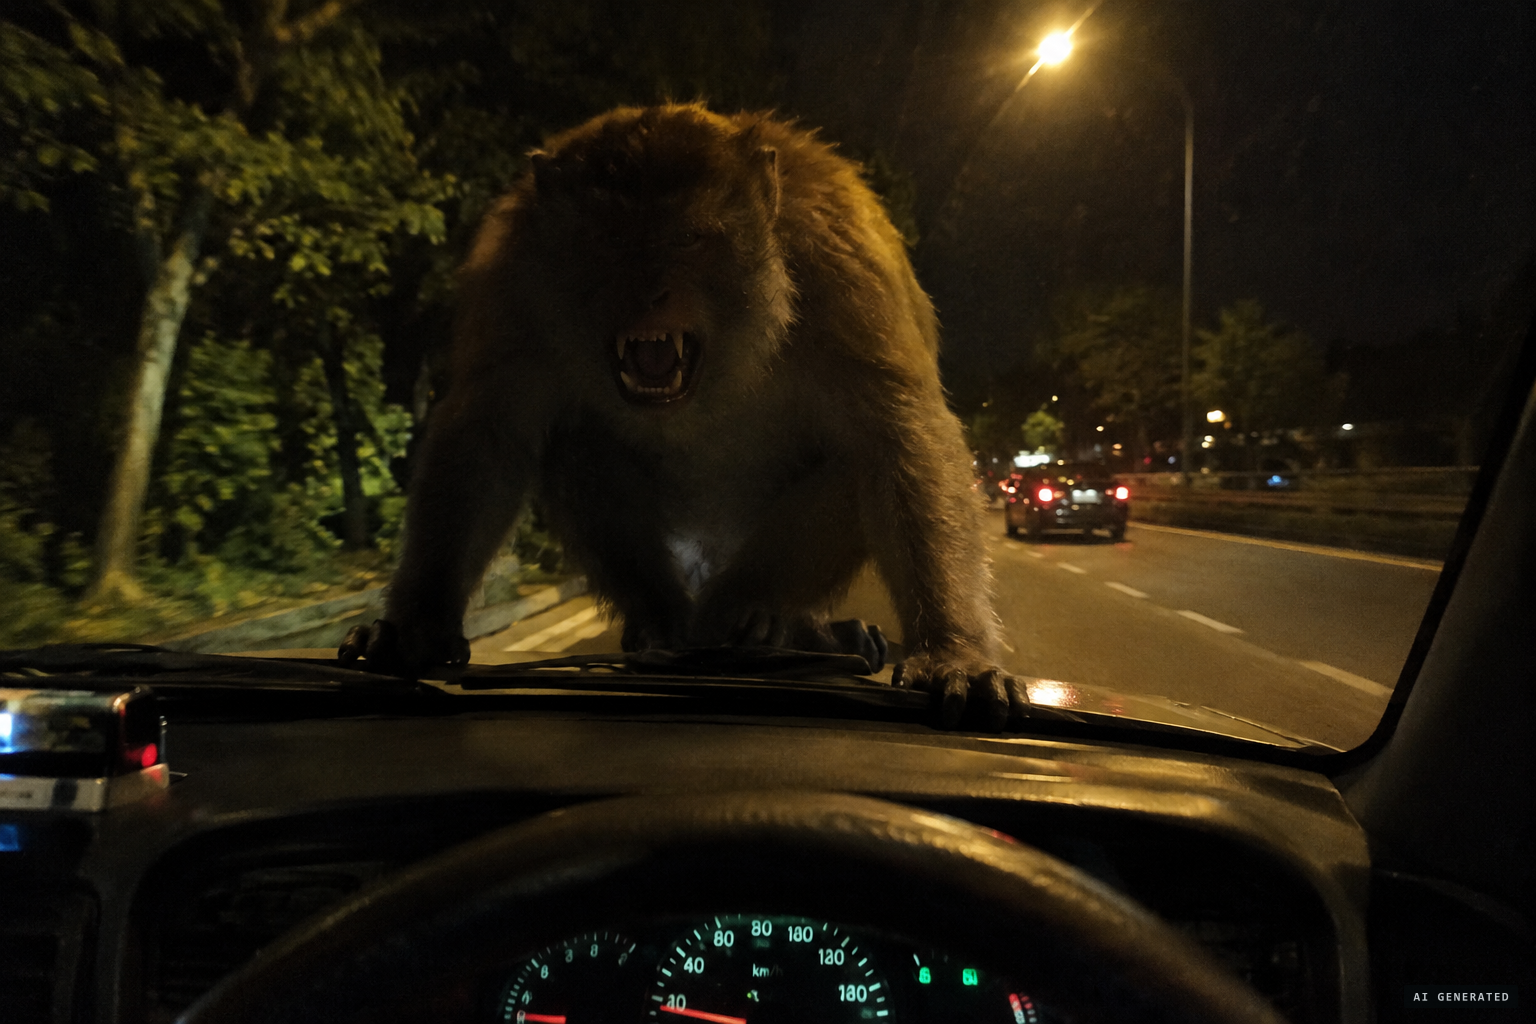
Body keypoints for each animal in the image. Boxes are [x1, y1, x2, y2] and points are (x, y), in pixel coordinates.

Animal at [340, 103, 1030, 730]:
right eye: (608, 242)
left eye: (689, 239)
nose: (647, 293)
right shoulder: (510, 279)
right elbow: (488, 432)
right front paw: (420, 625)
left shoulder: (843, 265)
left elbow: (897, 435)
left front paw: (953, 653)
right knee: (572, 447)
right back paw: (664, 624)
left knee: (852, 467)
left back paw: (759, 618)